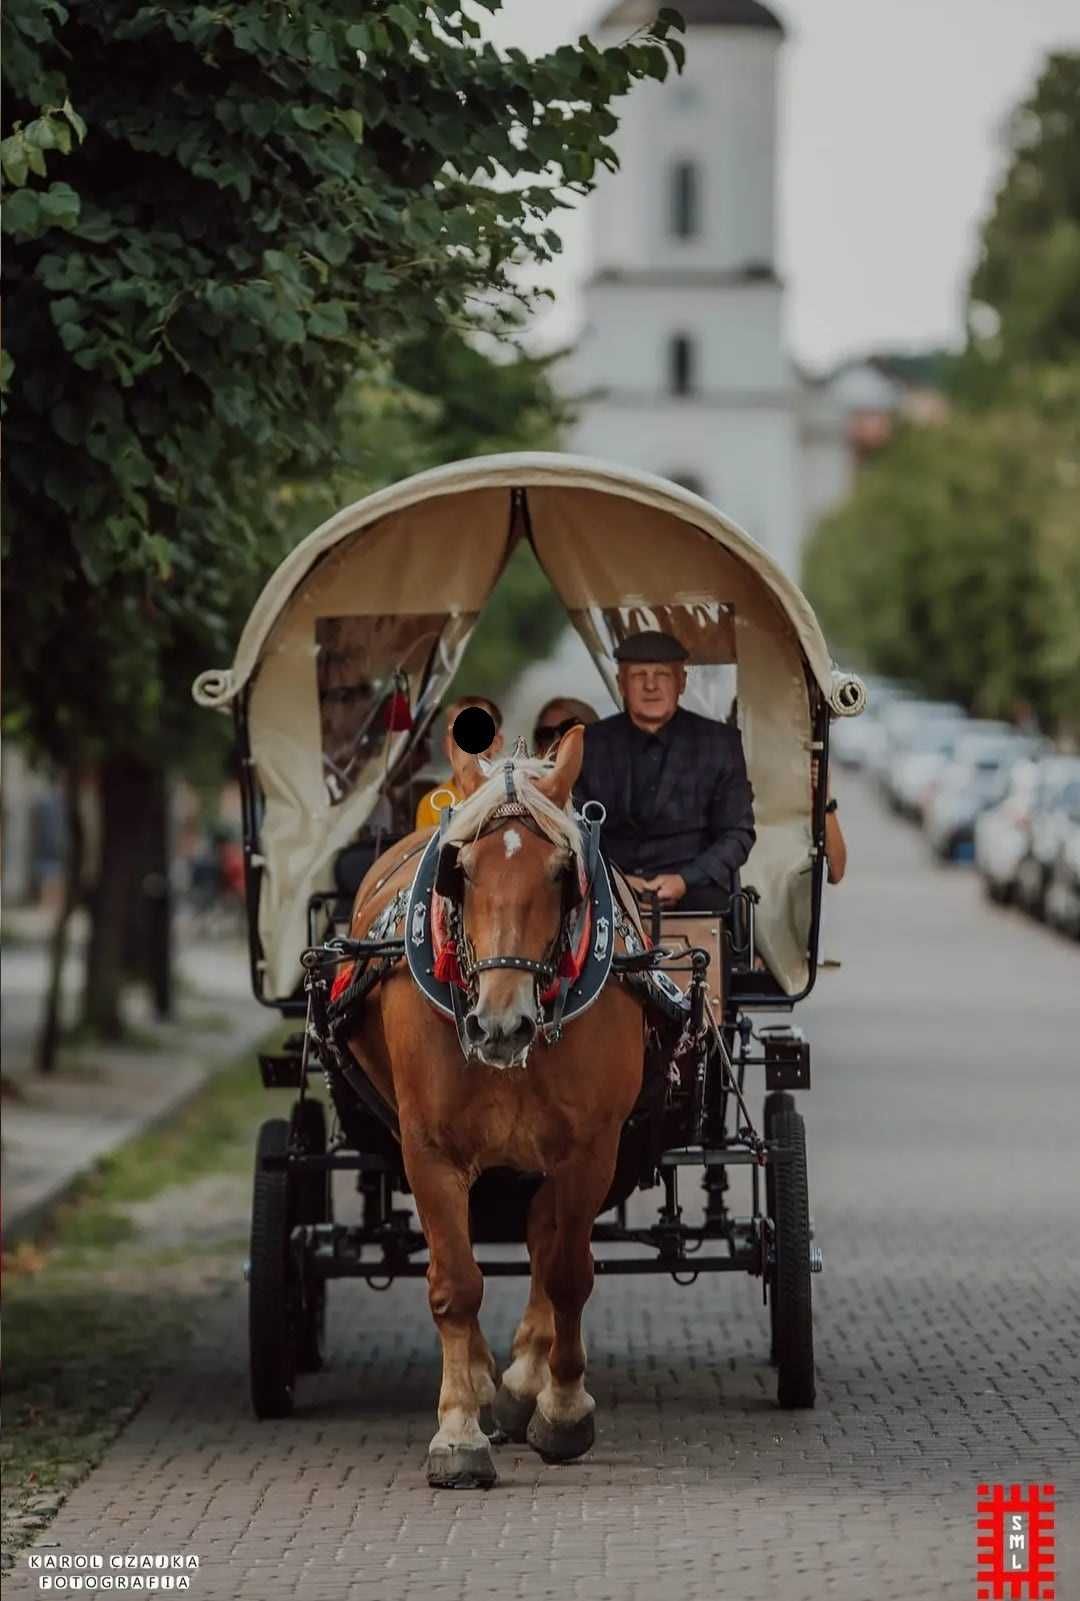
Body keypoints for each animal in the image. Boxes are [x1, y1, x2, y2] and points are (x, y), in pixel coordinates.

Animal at [342, 726, 643, 1485]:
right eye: (461, 870)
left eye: (562, 873)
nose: (500, 1026)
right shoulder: (428, 1147)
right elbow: (455, 1281)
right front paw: (457, 1430)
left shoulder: (591, 1148)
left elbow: (566, 1272)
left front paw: (561, 1408)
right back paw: (484, 1382)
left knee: (543, 1241)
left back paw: (524, 1380)